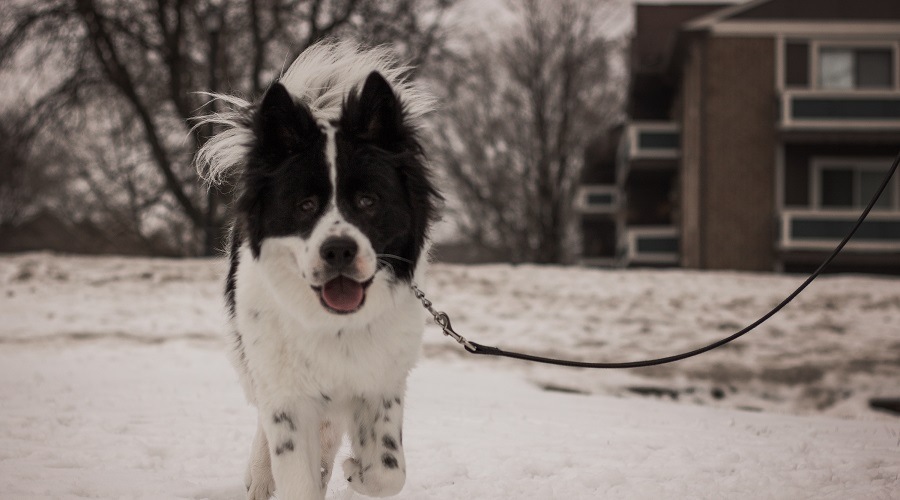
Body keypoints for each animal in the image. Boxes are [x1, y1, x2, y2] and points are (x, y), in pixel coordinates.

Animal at [195, 41, 442, 498]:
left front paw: (353, 470)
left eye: (367, 201)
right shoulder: (287, 396)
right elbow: (295, 471)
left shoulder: (380, 382)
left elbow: (388, 472)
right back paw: (259, 476)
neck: (334, 326)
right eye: (305, 205)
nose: (339, 250)